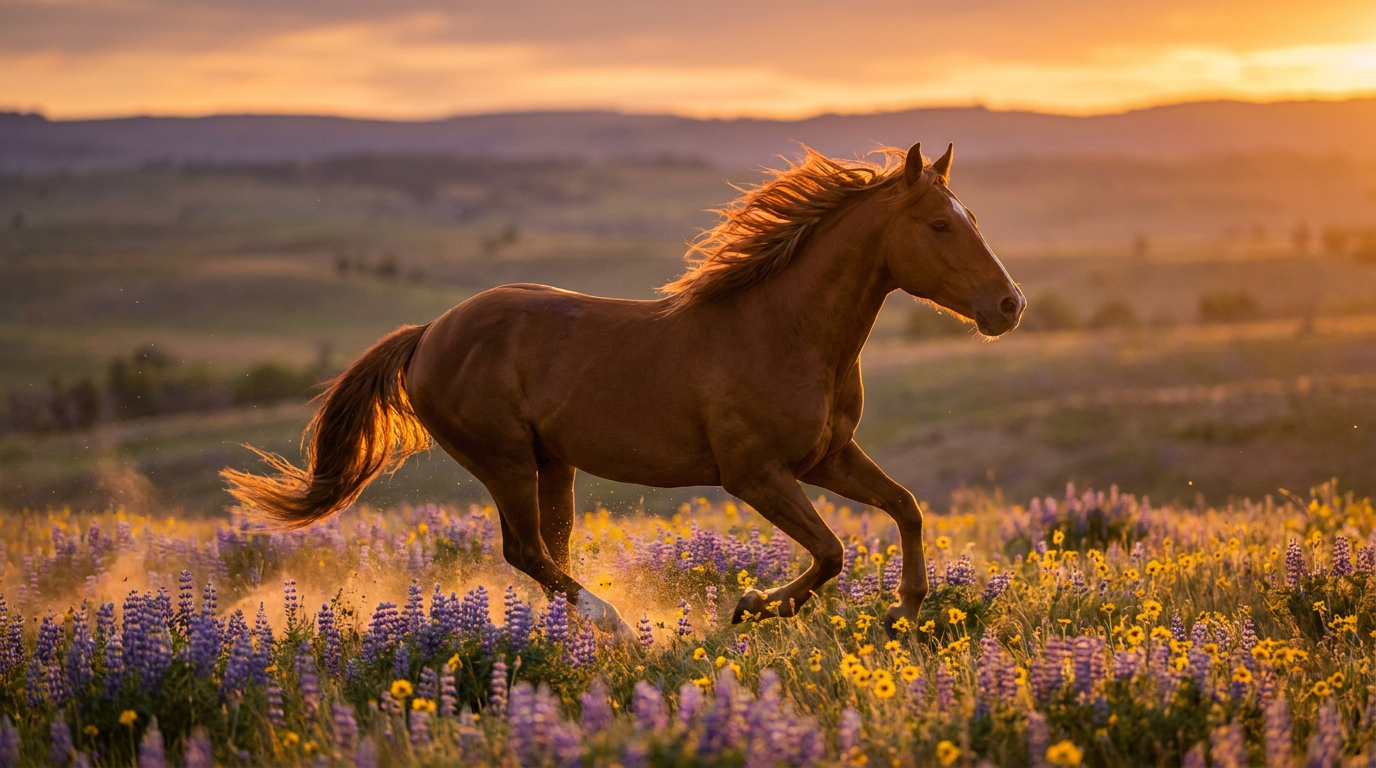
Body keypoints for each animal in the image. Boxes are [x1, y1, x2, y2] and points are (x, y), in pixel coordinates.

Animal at [223, 141, 1024, 639]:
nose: (1009, 306)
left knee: (549, 551)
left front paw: (904, 614)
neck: (785, 330)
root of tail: (428, 334)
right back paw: (615, 627)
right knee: (526, 552)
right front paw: (750, 608)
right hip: (504, 459)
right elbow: (830, 552)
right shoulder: (754, 474)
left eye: (973, 218)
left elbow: (906, 508)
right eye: (939, 224)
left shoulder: (827, 457)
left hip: (552, 463)